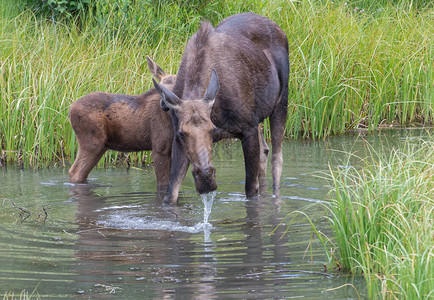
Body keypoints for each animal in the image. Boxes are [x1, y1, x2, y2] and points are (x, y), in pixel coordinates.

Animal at [68, 56, 175, 192]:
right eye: (159, 87)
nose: (164, 103)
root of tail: (70, 110)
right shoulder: (159, 147)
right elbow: (163, 183)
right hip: (92, 142)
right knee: (75, 172)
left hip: (101, 146)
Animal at [154, 12, 290, 204]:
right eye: (182, 133)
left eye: (212, 129)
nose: (206, 179)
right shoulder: (177, 139)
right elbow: (171, 193)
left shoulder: (248, 129)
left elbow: (251, 190)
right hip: (259, 117)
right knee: (264, 152)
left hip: (281, 102)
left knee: (277, 160)